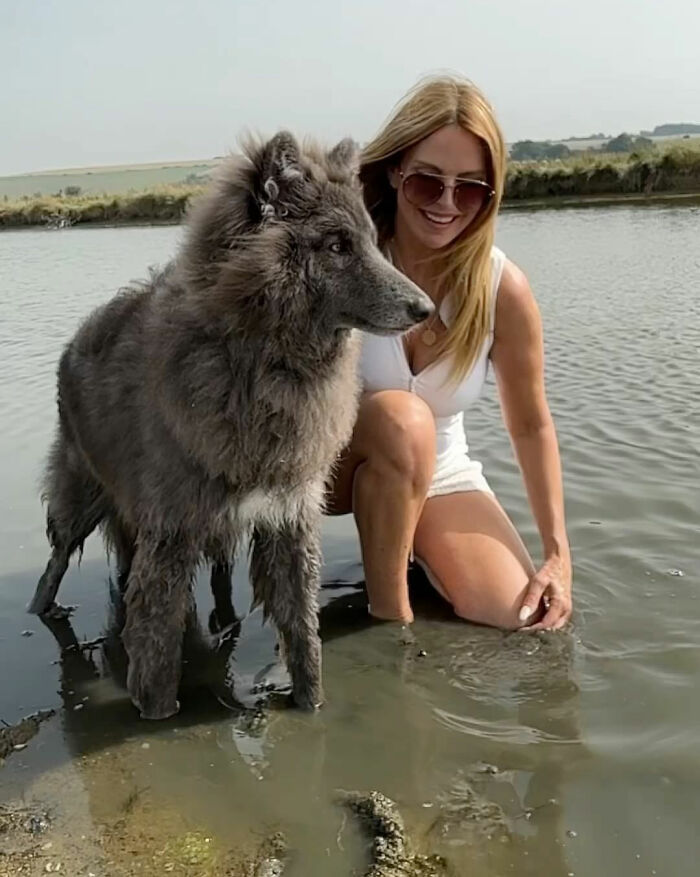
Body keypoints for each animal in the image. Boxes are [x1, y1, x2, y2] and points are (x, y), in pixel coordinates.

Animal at [28, 132, 433, 719]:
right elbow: (157, 643)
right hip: (81, 497)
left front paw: (312, 706)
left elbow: (303, 633)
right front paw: (157, 717)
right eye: (336, 245)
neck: (260, 358)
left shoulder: (288, 515)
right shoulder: (171, 531)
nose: (426, 308)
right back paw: (44, 611)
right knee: (56, 562)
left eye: (372, 242)